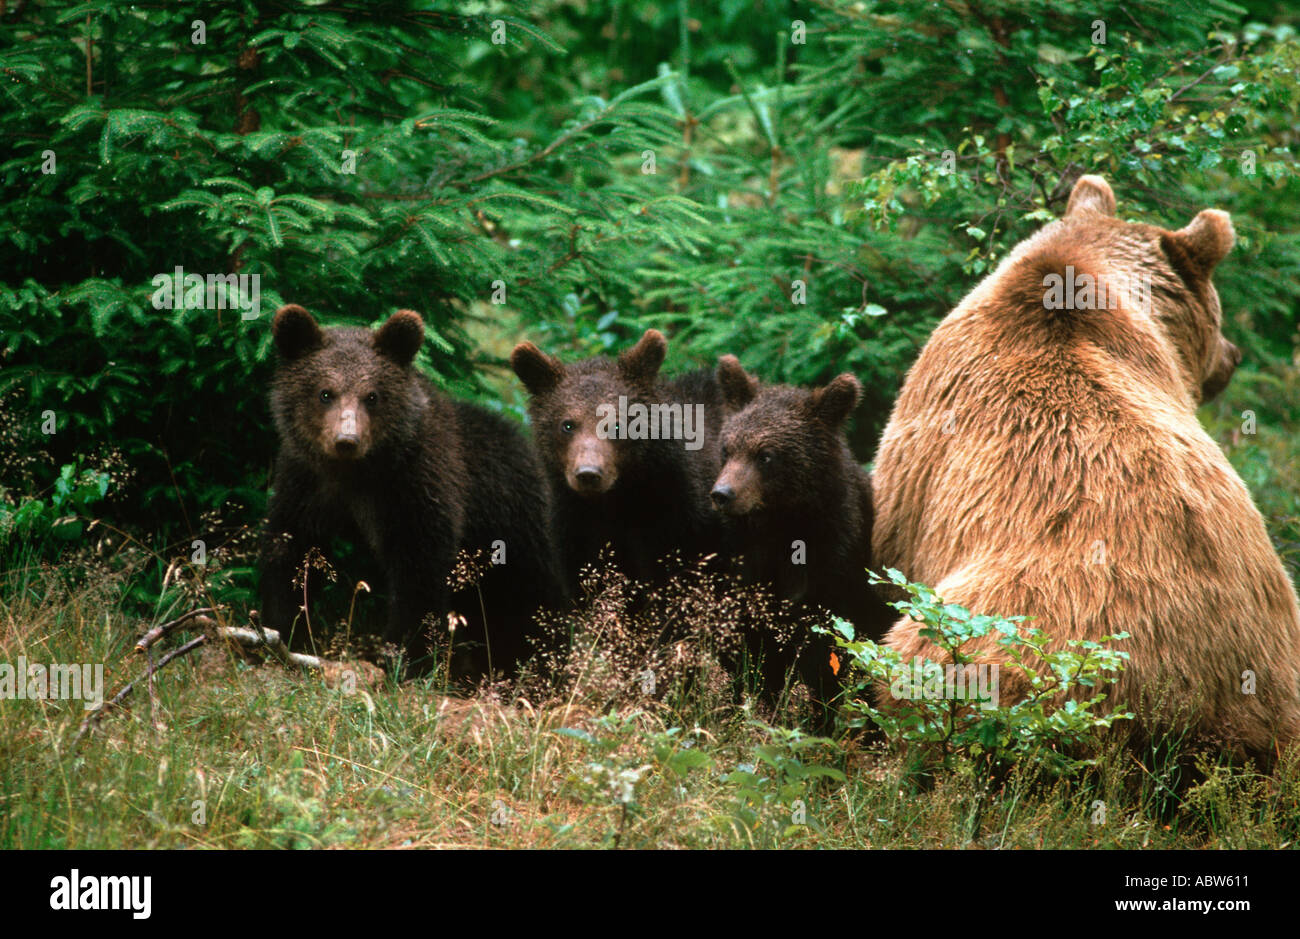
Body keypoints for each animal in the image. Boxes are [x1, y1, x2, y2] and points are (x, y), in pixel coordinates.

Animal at [260, 304, 565, 681]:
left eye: (372, 395)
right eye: (325, 392)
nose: (347, 440)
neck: (359, 473)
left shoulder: (416, 486)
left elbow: (419, 571)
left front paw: (401, 655)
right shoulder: (306, 482)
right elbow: (290, 549)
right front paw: (286, 629)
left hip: (525, 549)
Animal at [509, 329, 726, 596]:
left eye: (617, 424)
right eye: (567, 425)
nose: (588, 474)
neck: (618, 501)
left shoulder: (681, 522)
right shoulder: (577, 531)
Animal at [711, 356, 896, 713]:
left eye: (765, 455)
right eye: (727, 449)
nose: (722, 494)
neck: (783, 526)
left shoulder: (832, 573)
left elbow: (826, 661)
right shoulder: (748, 572)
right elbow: (754, 657)